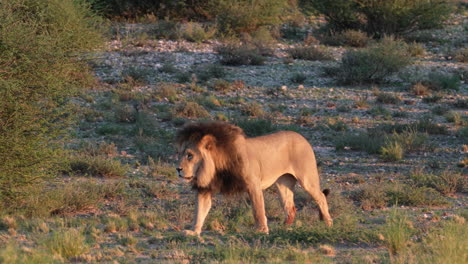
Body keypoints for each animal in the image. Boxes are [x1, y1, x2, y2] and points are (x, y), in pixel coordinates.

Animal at [176, 121, 332, 235]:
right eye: (180, 154)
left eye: (190, 156)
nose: (178, 169)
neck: (216, 166)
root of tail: (302, 137)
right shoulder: (205, 188)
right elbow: (199, 211)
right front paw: (193, 232)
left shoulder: (253, 185)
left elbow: (258, 210)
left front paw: (261, 230)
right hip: (283, 184)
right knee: (290, 207)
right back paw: (284, 228)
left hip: (307, 179)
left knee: (321, 197)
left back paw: (328, 224)